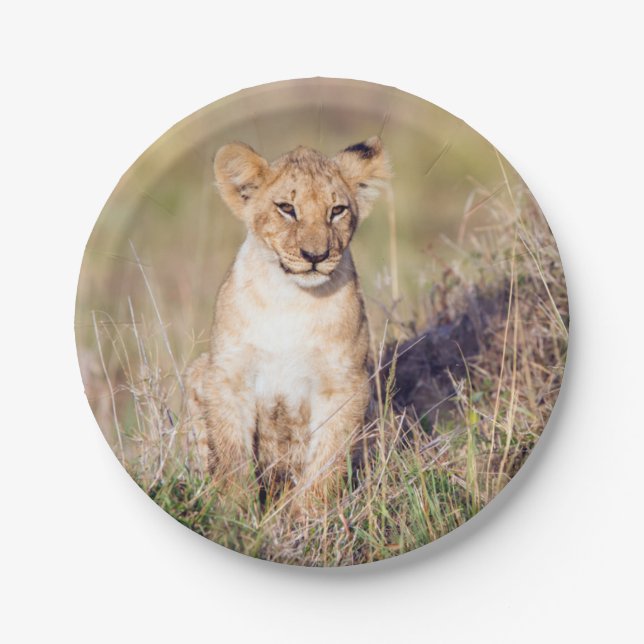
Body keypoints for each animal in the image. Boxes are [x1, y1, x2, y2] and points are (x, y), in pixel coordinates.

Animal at [185, 136, 391, 513]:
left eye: (337, 210)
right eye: (286, 208)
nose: (315, 256)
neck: (291, 299)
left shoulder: (345, 384)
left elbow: (326, 460)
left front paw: (310, 517)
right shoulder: (228, 376)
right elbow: (231, 455)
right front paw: (233, 514)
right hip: (197, 370)